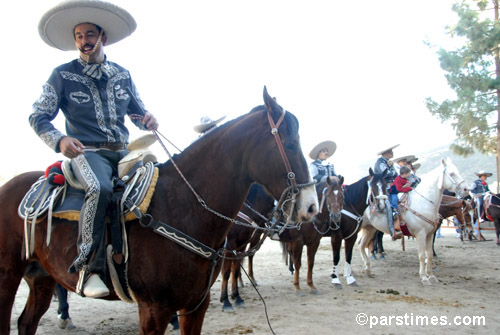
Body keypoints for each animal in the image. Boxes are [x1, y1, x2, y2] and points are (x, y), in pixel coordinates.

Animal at [219, 184, 274, 312]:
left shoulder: (241, 246)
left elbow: (235, 270)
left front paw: (237, 297)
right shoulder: (230, 247)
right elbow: (226, 272)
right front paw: (226, 301)